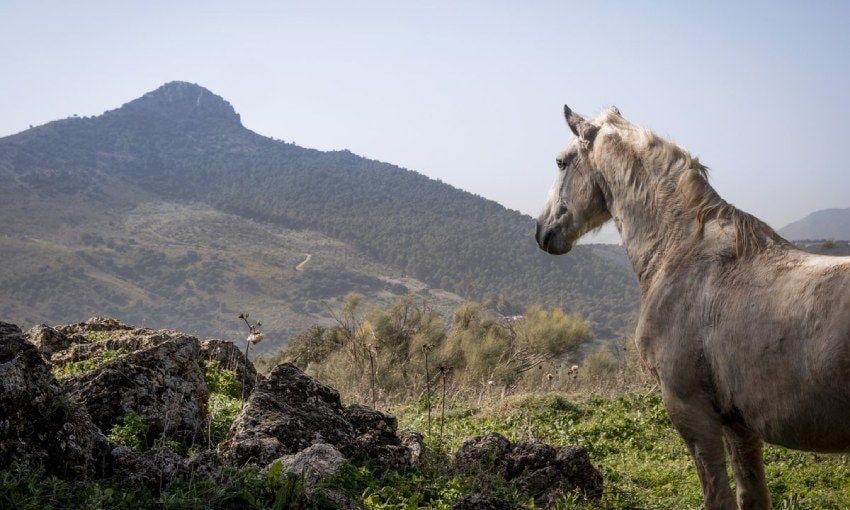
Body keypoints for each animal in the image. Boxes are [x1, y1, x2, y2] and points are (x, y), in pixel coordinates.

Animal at [536, 105, 848, 508]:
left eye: (561, 162)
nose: (542, 231)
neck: (681, 253)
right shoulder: (738, 423)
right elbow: (752, 495)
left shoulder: (690, 410)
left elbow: (718, 497)